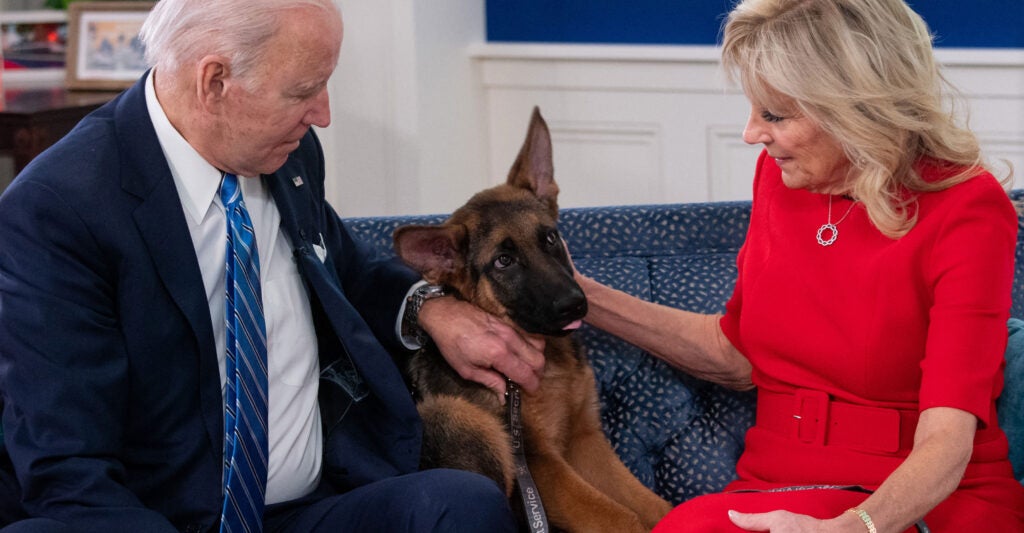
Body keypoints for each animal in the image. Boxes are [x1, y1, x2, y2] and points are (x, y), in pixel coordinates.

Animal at [391, 105, 671, 527]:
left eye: (550, 238)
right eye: (504, 261)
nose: (574, 304)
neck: (549, 358)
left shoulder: (584, 441)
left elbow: (653, 506)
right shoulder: (541, 463)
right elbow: (620, 517)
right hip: (458, 417)